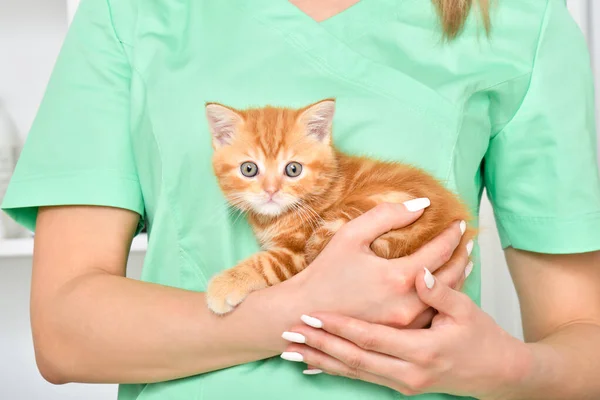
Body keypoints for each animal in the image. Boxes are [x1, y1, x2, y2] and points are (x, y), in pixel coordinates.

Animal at [204, 98, 476, 314]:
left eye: (293, 169)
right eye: (249, 169)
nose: (271, 191)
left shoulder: (297, 254)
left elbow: (268, 263)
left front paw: (226, 284)